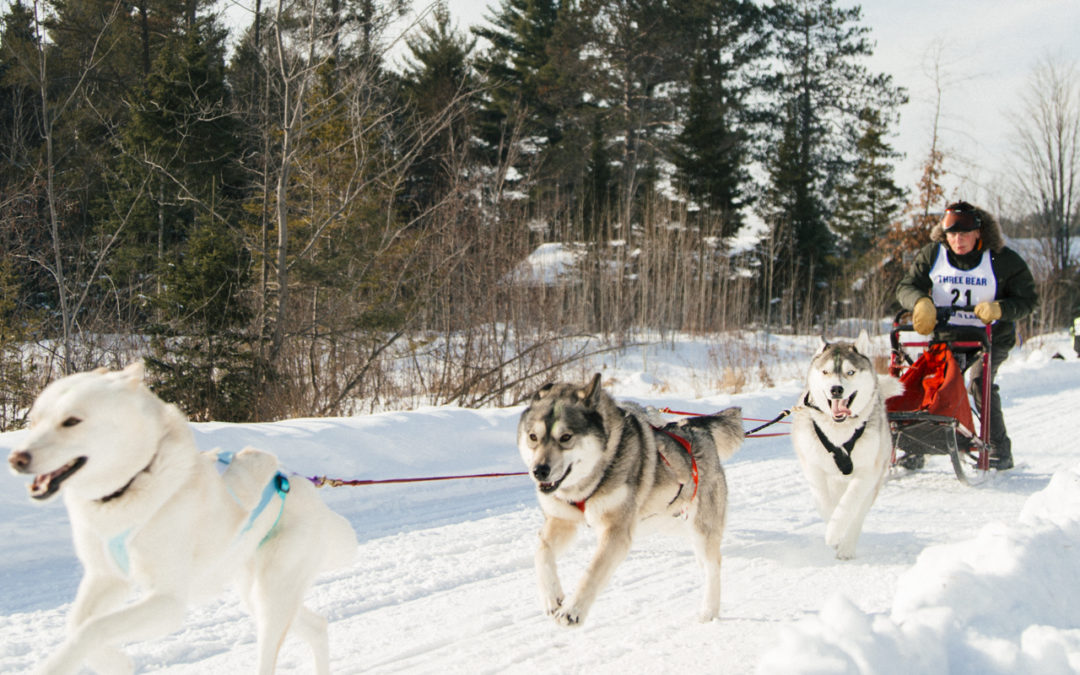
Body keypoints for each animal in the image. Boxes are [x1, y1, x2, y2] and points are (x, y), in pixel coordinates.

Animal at [7, 362, 358, 673]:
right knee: (318, 625)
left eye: (71, 421)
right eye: (34, 420)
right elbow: (77, 624)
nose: (16, 459)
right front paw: (115, 663)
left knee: (270, 654)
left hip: (272, 597)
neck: (133, 484)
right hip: (255, 593)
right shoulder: (108, 578)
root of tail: (312, 496)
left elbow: (91, 629)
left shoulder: (167, 603)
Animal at [516, 371, 743, 622]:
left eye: (566, 437)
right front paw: (551, 597)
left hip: (701, 527)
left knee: (713, 565)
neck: (590, 482)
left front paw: (573, 610)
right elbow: (542, 552)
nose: (539, 470)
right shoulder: (562, 521)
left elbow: (593, 571)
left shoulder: (616, 531)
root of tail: (696, 427)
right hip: (671, 521)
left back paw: (709, 610)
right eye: (533, 437)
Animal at [790, 330, 907, 557]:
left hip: (873, 484)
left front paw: (836, 532)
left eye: (850, 372)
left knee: (857, 513)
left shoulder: (867, 472)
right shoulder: (814, 469)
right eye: (825, 372)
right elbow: (826, 504)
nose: (836, 389)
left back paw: (847, 546)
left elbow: (849, 505)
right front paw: (832, 531)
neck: (839, 432)